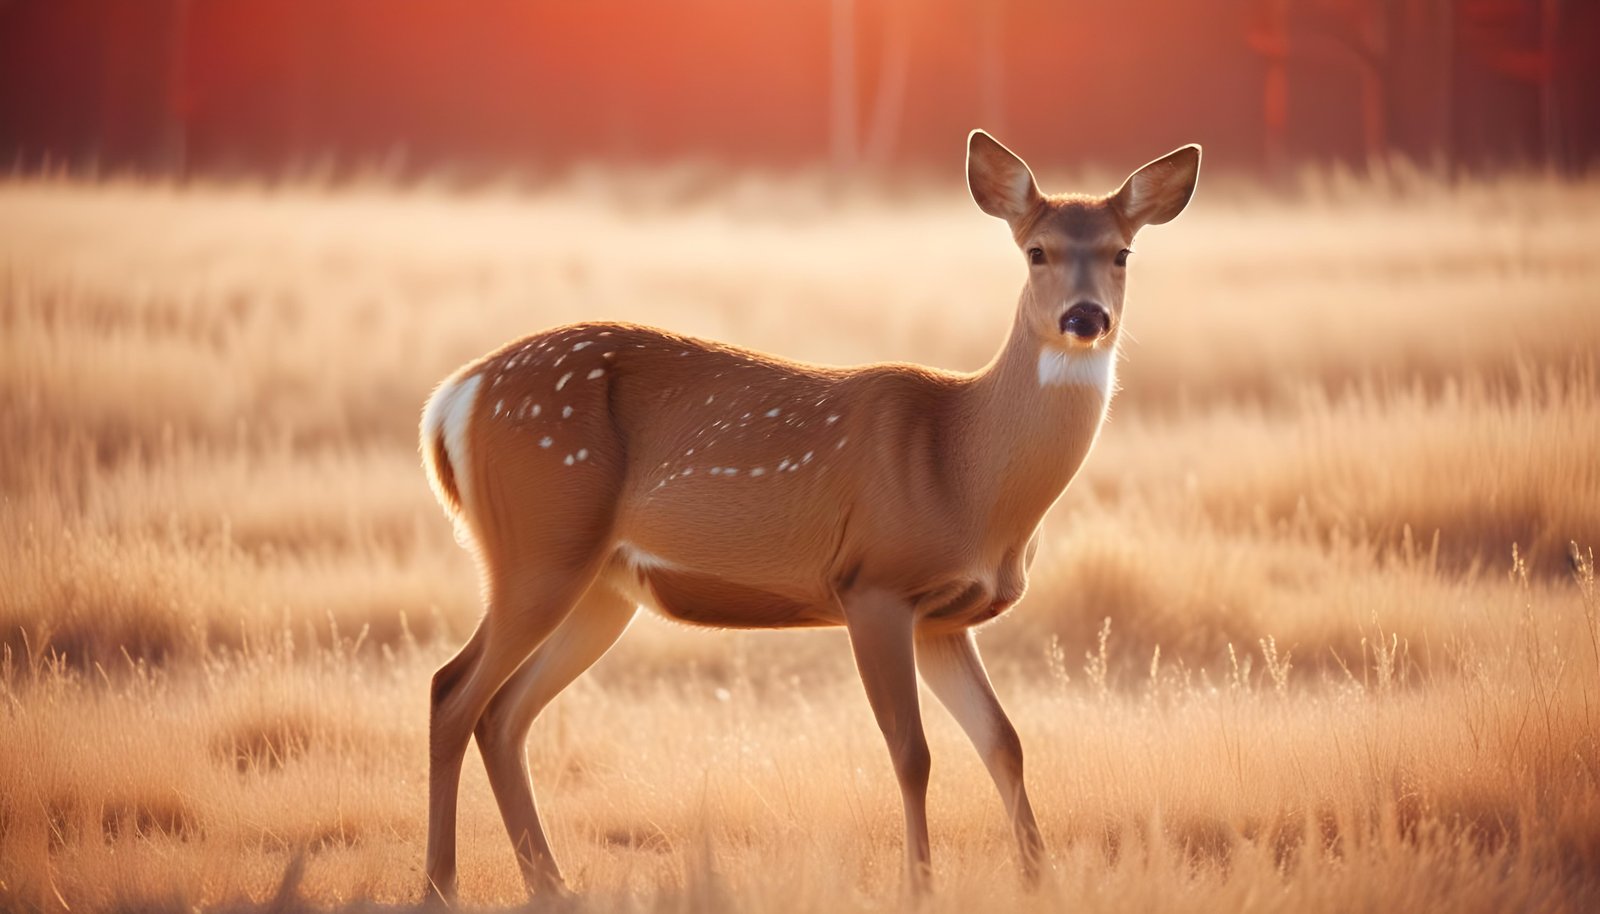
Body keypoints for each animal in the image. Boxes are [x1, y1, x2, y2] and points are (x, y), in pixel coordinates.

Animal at [418, 130, 1199, 902]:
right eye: (1036, 250)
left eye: (1122, 252)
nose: (1084, 318)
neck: (963, 471)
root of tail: (453, 397)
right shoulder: (873, 583)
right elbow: (912, 752)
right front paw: (919, 887)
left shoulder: (944, 617)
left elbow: (1003, 742)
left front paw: (1040, 882)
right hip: (539, 543)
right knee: (452, 691)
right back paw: (441, 883)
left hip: (603, 585)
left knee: (504, 713)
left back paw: (550, 884)